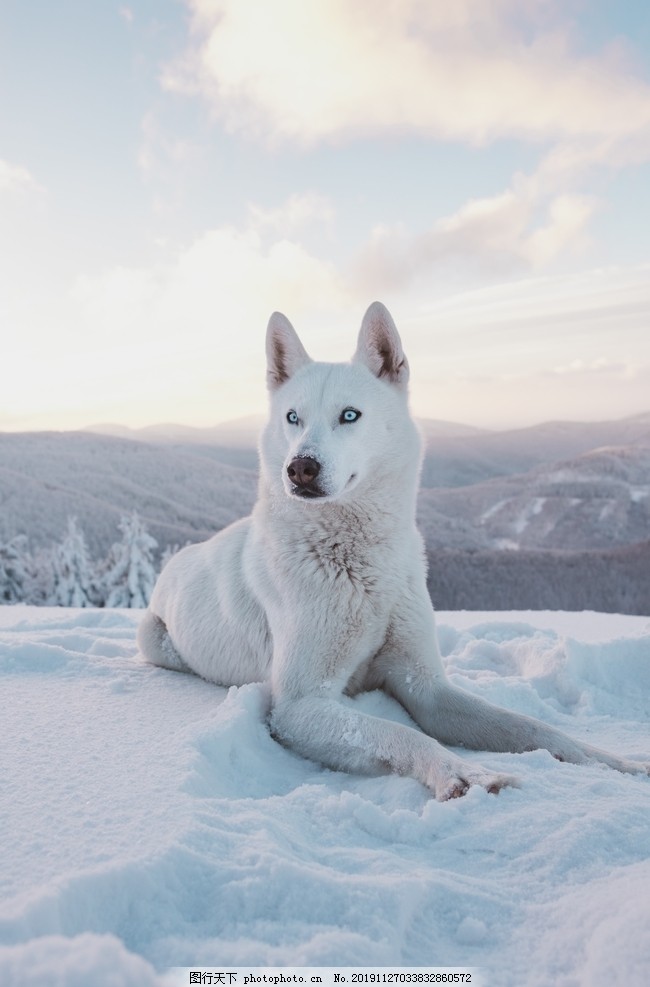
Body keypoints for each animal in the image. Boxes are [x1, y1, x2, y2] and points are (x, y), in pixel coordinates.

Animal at [138, 304, 648, 800]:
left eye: (349, 415)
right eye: (292, 418)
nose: (300, 468)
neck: (361, 566)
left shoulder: (427, 688)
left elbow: (533, 728)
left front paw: (614, 763)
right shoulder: (301, 705)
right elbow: (401, 734)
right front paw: (464, 774)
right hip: (155, 640)